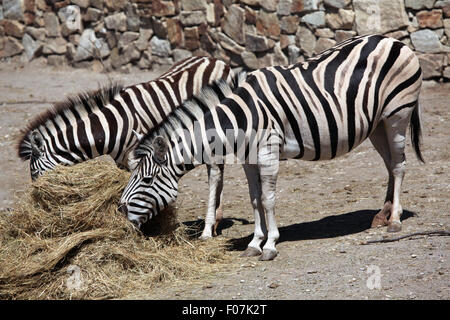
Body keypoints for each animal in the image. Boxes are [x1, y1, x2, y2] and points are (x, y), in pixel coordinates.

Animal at [16, 55, 232, 238]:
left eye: (35, 173)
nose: (38, 206)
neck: (112, 127)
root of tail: (215, 59)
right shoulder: (122, 162)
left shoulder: (139, 156)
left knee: (215, 172)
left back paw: (212, 223)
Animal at [118, 35, 424, 260]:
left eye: (147, 180)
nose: (120, 212)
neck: (238, 119)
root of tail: (393, 40)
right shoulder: (248, 157)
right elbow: (254, 199)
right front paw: (255, 243)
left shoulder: (267, 151)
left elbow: (268, 199)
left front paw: (270, 245)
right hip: (376, 124)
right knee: (390, 165)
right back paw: (382, 215)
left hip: (397, 114)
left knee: (399, 165)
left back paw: (395, 220)